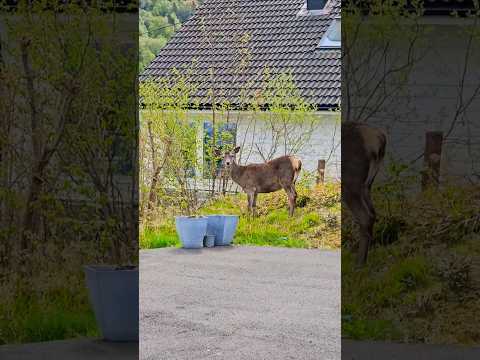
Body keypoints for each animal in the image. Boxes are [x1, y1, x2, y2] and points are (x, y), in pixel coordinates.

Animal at [344, 122, 388, 266]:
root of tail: (379, 139)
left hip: (350, 183)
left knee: (365, 217)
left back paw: (359, 264)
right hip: (366, 186)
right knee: (373, 214)